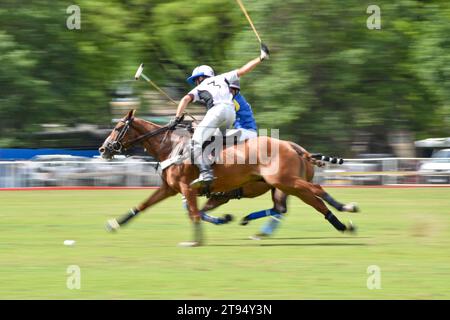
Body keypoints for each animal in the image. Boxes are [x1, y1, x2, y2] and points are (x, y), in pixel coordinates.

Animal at [100, 111, 356, 246]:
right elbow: (144, 205)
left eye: (118, 128)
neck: (170, 146)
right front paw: (115, 223)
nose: (104, 149)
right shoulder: (171, 188)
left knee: (315, 190)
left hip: (284, 181)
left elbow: (194, 213)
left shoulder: (188, 188)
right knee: (298, 204)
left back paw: (347, 207)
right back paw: (341, 224)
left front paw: (197, 240)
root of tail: (293, 146)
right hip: (283, 185)